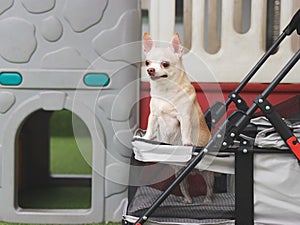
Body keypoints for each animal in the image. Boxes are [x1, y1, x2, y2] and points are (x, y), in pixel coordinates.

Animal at [142, 32, 213, 203]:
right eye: (147, 62)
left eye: (165, 64)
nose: (150, 70)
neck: (165, 92)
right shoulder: (153, 116)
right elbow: (150, 128)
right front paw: (146, 138)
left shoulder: (184, 117)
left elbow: (185, 130)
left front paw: (186, 143)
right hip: (179, 174)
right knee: (184, 187)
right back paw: (188, 200)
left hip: (208, 174)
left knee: (209, 187)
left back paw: (208, 199)